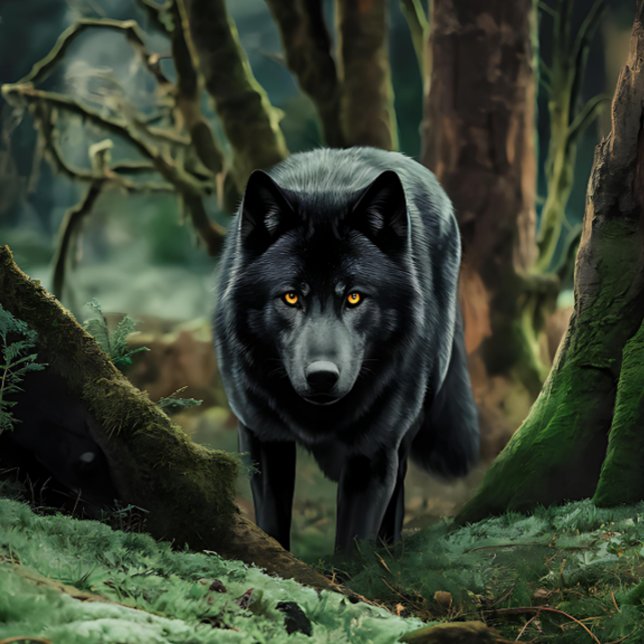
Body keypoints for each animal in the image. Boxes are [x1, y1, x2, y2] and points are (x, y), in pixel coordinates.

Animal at [214, 147, 479, 552]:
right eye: (291, 296)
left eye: (353, 297)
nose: (322, 376)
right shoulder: (262, 437)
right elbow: (272, 525)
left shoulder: (373, 453)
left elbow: (353, 542)